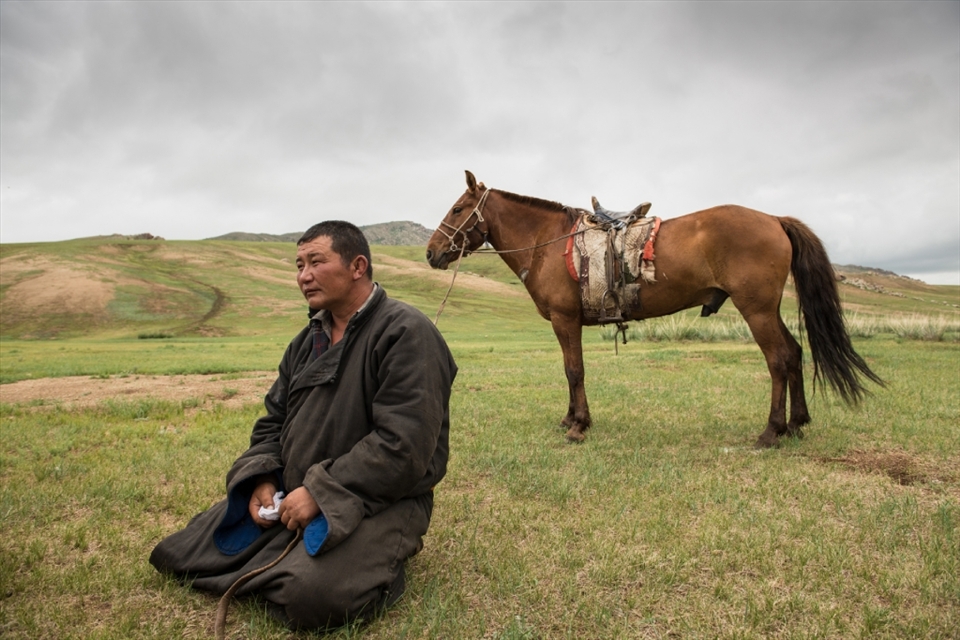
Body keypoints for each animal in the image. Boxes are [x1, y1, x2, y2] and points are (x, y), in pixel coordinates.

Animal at [426, 171, 883, 447]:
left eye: (457, 209)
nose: (431, 252)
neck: (548, 244)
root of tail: (773, 219)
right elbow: (570, 371)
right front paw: (571, 419)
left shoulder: (565, 320)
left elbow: (574, 370)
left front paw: (578, 425)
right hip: (767, 310)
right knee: (795, 354)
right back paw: (798, 423)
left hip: (756, 310)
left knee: (780, 359)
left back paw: (772, 431)